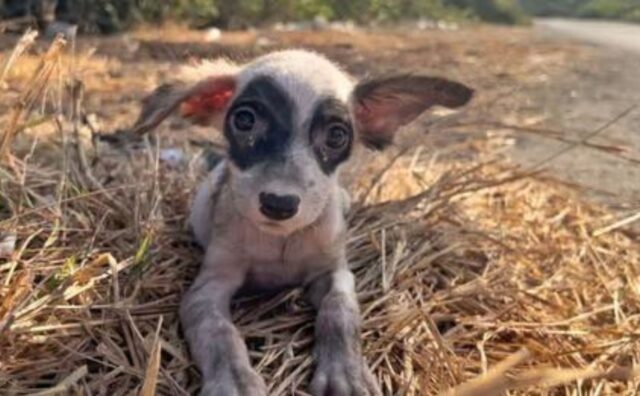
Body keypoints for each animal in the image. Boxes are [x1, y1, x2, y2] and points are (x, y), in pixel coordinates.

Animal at [132, 50, 472, 396]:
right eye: (245, 120)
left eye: (336, 135)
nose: (278, 204)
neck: (280, 241)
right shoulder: (206, 288)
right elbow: (218, 332)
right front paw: (234, 379)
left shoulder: (335, 272)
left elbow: (339, 310)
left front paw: (345, 372)